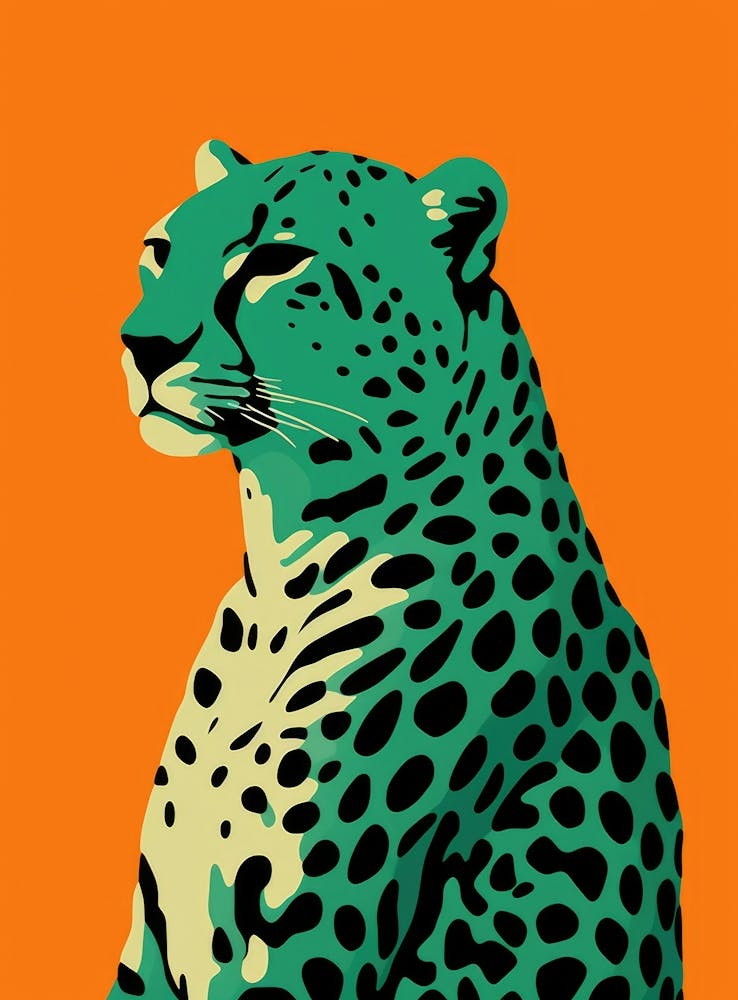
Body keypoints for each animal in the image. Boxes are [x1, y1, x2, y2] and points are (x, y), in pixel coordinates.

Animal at [110, 140, 683, 1000]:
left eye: (276, 260)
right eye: (160, 251)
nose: (142, 344)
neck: (280, 568)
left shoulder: (305, 942)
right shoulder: (152, 939)